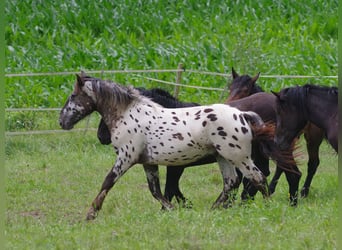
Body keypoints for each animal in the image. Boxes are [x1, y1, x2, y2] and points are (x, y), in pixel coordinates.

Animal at [59, 72, 276, 219]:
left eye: (72, 96)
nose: (62, 122)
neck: (129, 114)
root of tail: (242, 115)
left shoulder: (126, 158)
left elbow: (108, 182)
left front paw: (91, 213)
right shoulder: (149, 163)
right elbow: (156, 190)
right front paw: (172, 210)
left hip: (238, 157)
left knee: (257, 177)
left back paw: (267, 208)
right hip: (223, 157)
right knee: (231, 183)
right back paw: (213, 210)